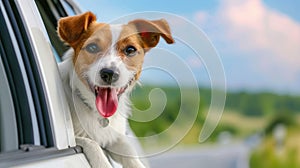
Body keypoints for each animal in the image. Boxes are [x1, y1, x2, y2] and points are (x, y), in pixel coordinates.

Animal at [56, 11, 173, 167]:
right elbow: (91, 143)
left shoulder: (114, 138)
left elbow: (129, 151)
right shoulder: (78, 138)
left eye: (130, 49)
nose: (109, 73)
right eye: (92, 47)